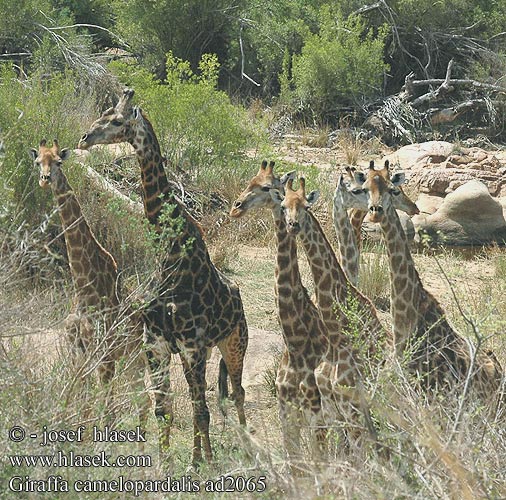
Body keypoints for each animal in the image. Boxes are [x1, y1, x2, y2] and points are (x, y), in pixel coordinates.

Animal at [28, 139, 140, 384]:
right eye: (38, 161)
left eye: (59, 162)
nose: (45, 180)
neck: (83, 286)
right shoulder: (76, 352)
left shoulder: (104, 355)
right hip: (130, 360)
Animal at [77, 89, 249, 464]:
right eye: (104, 113)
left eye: (117, 120)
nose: (84, 138)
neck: (171, 256)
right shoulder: (156, 346)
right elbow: (163, 411)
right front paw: (171, 463)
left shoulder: (191, 345)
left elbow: (201, 411)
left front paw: (201, 465)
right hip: (201, 352)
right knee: (210, 397)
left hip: (234, 342)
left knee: (236, 392)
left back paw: (244, 447)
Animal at [229, 162, 328, 462]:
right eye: (282, 204)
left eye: (266, 187)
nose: (235, 208)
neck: (295, 341)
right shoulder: (286, 410)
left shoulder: (315, 411)